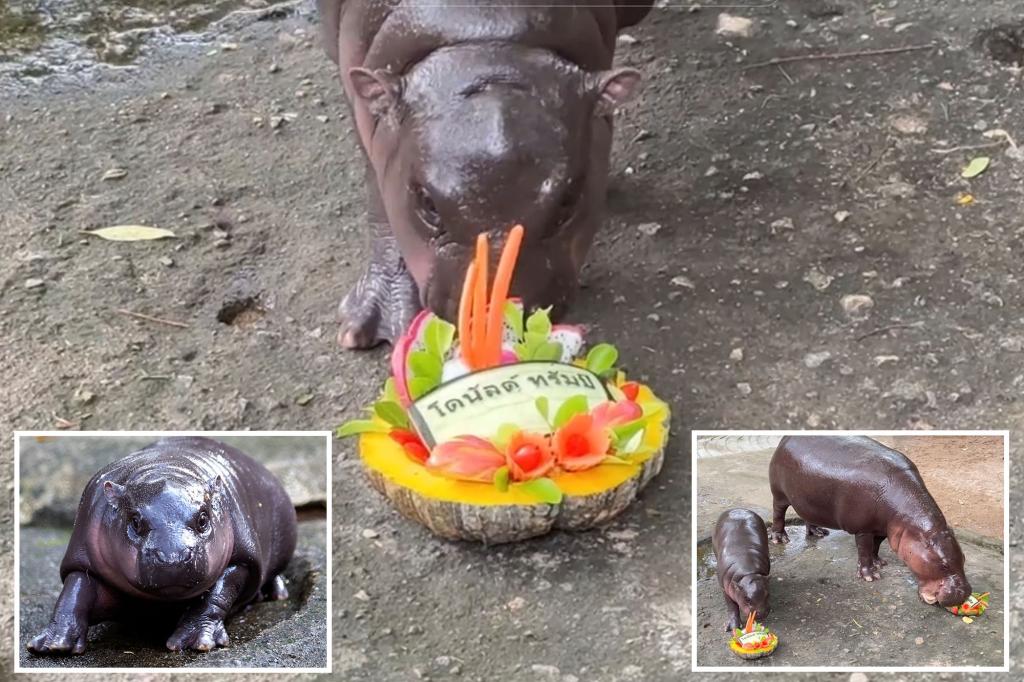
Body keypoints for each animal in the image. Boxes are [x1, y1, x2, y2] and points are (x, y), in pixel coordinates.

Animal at [27, 436, 296, 655]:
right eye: (135, 521)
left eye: (203, 518)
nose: (172, 557)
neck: (165, 469)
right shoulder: (83, 558)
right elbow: (75, 590)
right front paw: (53, 644)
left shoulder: (241, 559)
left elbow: (217, 594)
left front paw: (196, 641)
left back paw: (275, 593)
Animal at [770, 432, 974, 602]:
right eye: (943, 565)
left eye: (964, 558)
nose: (965, 594)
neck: (909, 523)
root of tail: (785, 438)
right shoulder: (863, 529)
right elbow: (865, 550)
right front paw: (871, 575)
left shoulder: (883, 528)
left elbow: (875, 546)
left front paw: (879, 563)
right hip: (779, 494)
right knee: (778, 513)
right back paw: (780, 539)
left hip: (807, 499)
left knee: (806, 515)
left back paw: (818, 532)